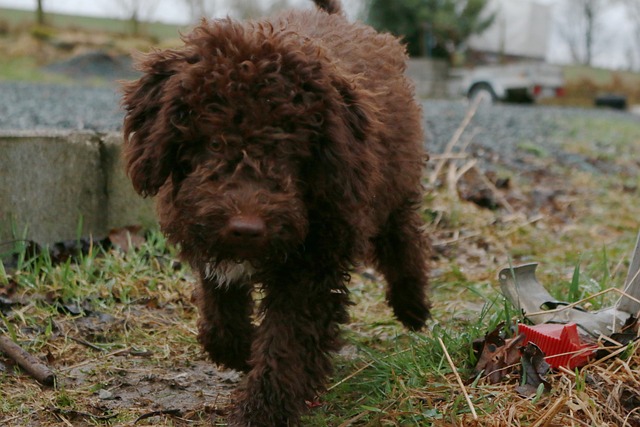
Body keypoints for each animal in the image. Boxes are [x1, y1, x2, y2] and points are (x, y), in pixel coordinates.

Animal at [121, 0, 430, 424]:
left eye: (288, 148)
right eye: (213, 142)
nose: (247, 228)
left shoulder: (313, 264)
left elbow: (288, 343)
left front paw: (262, 411)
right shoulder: (210, 242)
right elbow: (221, 319)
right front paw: (240, 350)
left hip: (394, 186)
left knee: (404, 237)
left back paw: (413, 306)